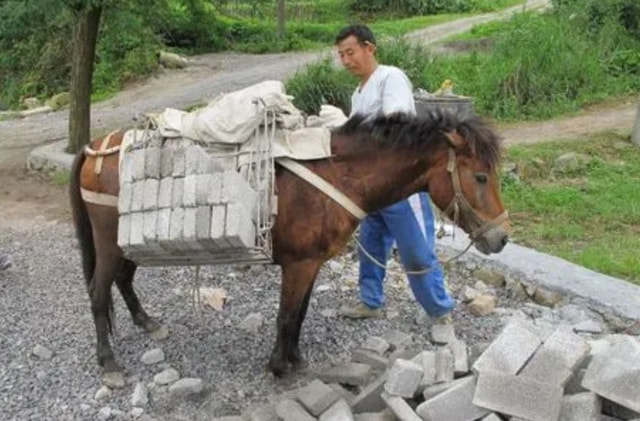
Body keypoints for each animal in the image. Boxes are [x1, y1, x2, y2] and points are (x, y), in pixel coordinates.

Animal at [69, 110, 510, 384]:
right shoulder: (298, 264)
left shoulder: (311, 263)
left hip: (125, 243)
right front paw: (279, 367)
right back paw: (108, 362)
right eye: (481, 176)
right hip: (108, 243)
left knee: (123, 280)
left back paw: (147, 323)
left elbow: (299, 315)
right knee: (97, 292)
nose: (501, 238)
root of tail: (95, 146)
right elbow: (285, 316)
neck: (337, 173)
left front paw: (294, 360)